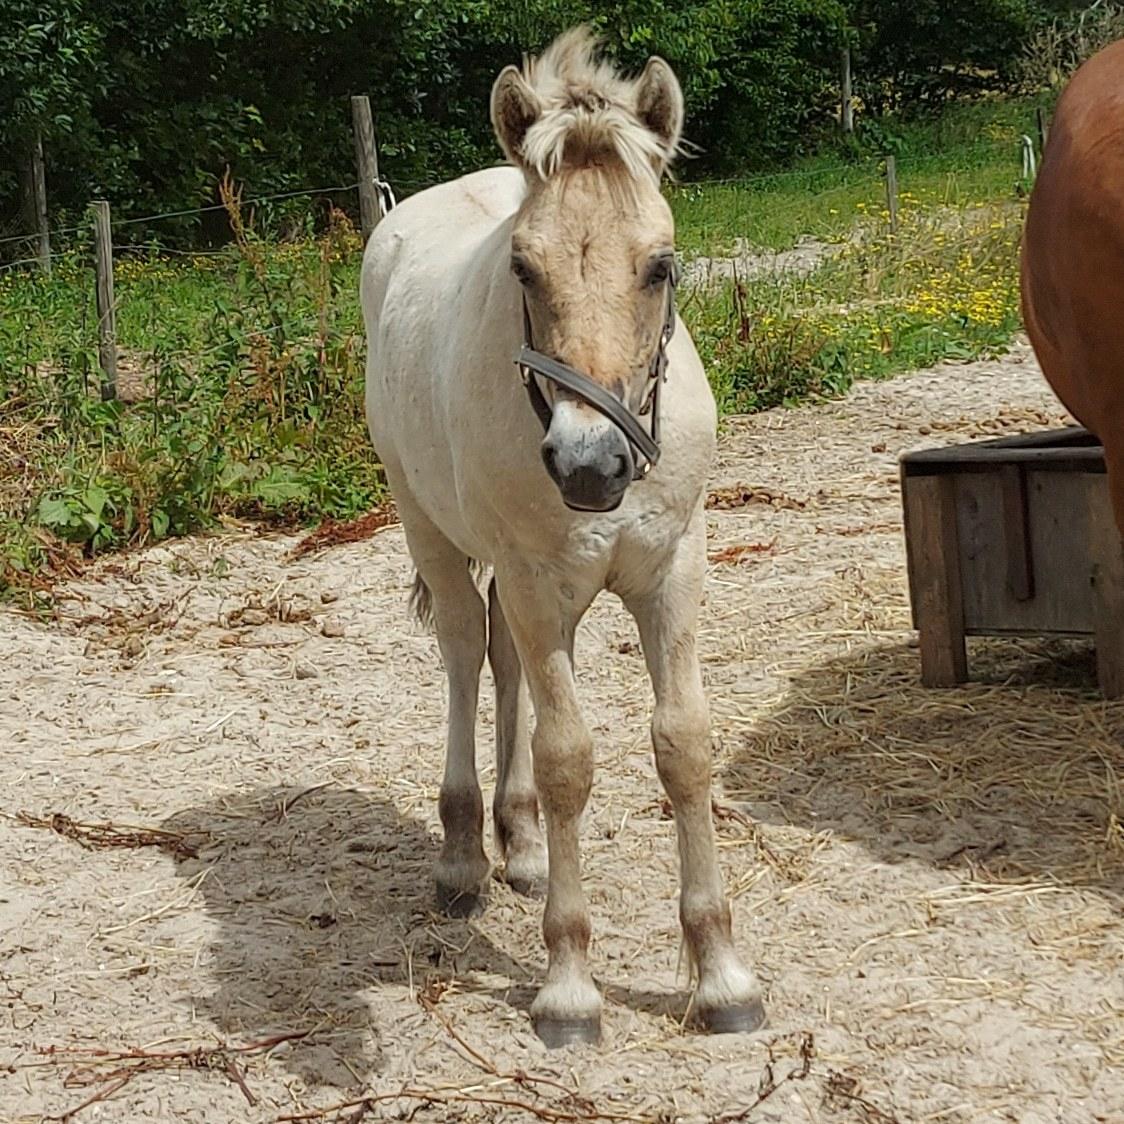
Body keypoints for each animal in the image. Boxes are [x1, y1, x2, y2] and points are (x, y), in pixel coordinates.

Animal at [364, 26, 768, 1043]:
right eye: (523, 268)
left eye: (661, 264)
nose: (590, 464)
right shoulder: (539, 580)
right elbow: (568, 759)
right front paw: (570, 984)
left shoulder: (671, 571)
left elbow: (683, 745)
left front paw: (722, 975)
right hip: (429, 526)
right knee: (466, 648)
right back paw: (465, 856)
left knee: (503, 659)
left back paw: (522, 846)